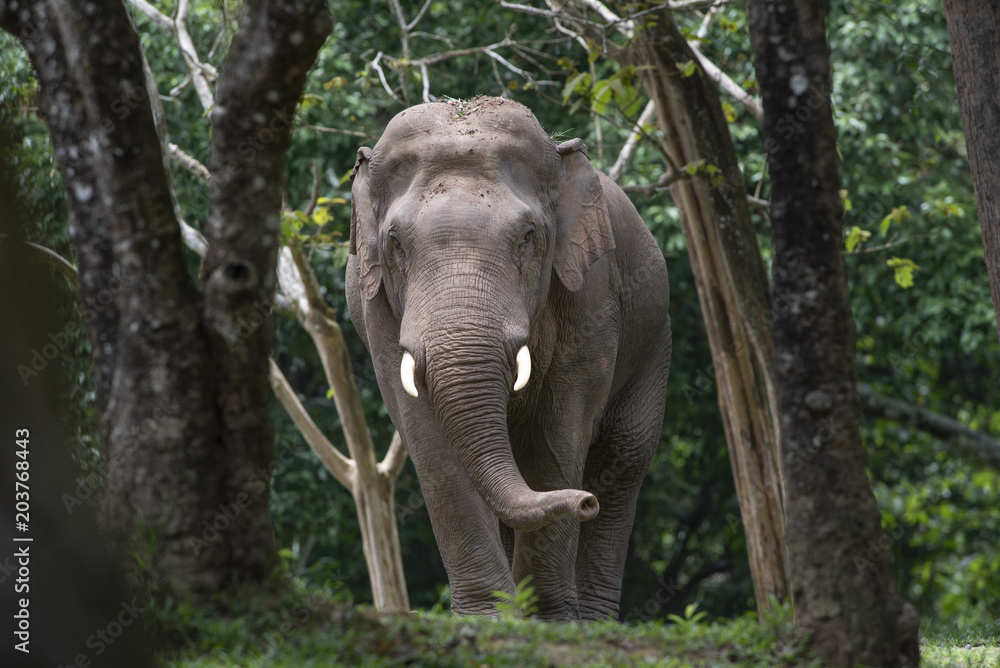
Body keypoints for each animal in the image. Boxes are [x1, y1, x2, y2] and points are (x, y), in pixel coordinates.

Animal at [346, 96, 671, 621]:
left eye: (528, 237)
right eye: (395, 243)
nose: (584, 501)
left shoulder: (592, 294)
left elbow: (560, 429)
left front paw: (550, 623)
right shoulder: (372, 303)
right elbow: (427, 438)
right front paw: (491, 616)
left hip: (655, 339)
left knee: (624, 456)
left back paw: (594, 618)